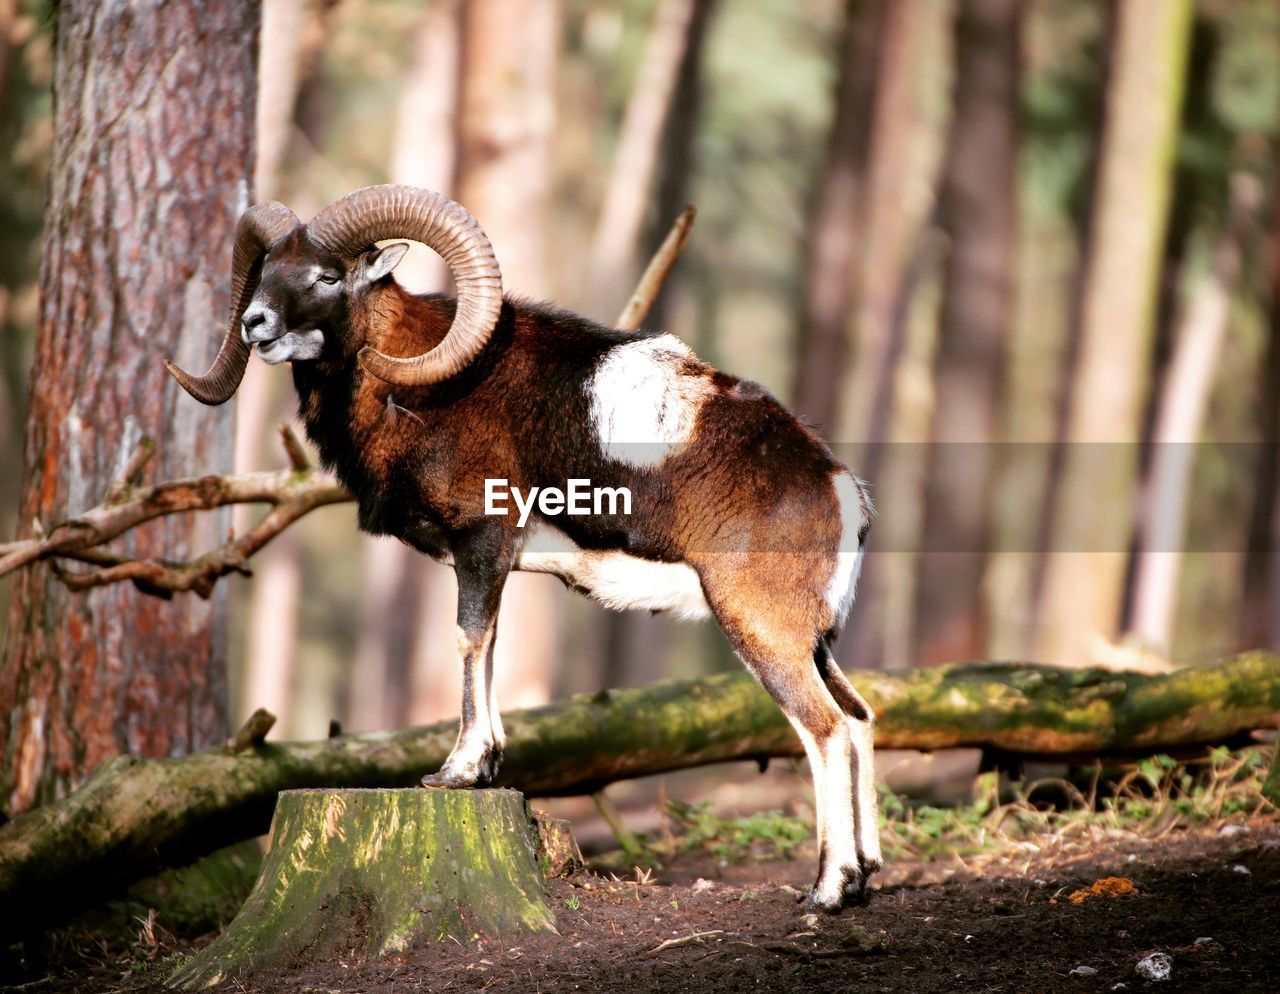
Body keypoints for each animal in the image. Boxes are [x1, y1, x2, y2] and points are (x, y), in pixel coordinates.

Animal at [166, 185, 879, 912]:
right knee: (858, 718)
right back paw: (862, 877)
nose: (254, 324)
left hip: (761, 632)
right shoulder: (495, 561)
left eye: (326, 276)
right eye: (266, 269)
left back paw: (826, 892)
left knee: (825, 728)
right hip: (814, 643)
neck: (416, 392)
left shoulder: (481, 540)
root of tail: (838, 487)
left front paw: (454, 773)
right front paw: (487, 766)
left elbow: (467, 638)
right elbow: (491, 644)